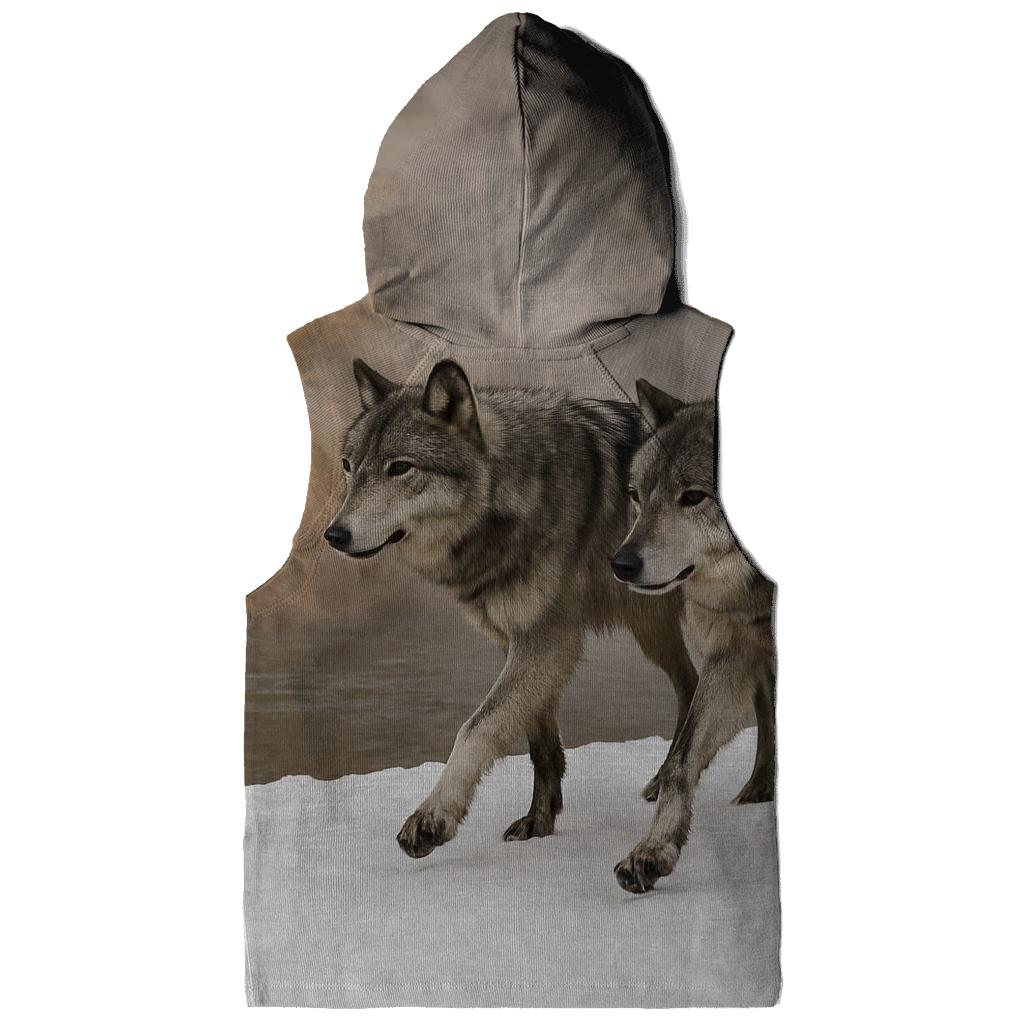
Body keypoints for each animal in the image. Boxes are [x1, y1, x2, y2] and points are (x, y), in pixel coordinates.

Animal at [324, 358, 700, 860]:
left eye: (399, 468)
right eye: (349, 467)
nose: (334, 535)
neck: (517, 492)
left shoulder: (547, 642)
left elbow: (475, 729)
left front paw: (432, 818)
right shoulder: (517, 641)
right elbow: (539, 744)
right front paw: (539, 822)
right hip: (653, 629)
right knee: (690, 685)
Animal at [609, 379, 777, 893]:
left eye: (694, 497)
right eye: (637, 495)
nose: (621, 564)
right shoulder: (729, 658)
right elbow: (683, 760)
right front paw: (653, 850)